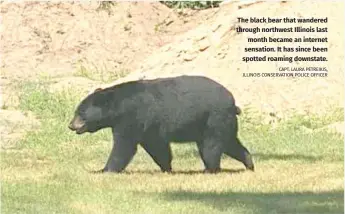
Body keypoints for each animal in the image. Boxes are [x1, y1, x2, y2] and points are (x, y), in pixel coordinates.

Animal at [68, 75, 254, 174]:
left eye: (80, 113)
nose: (71, 125)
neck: (118, 106)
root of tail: (233, 103)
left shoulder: (133, 117)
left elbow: (124, 146)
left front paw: (105, 170)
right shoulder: (149, 128)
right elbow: (157, 147)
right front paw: (167, 168)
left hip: (213, 119)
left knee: (211, 146)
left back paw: (209, 169)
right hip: (221, 123)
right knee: (230, 143)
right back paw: (249, 164)